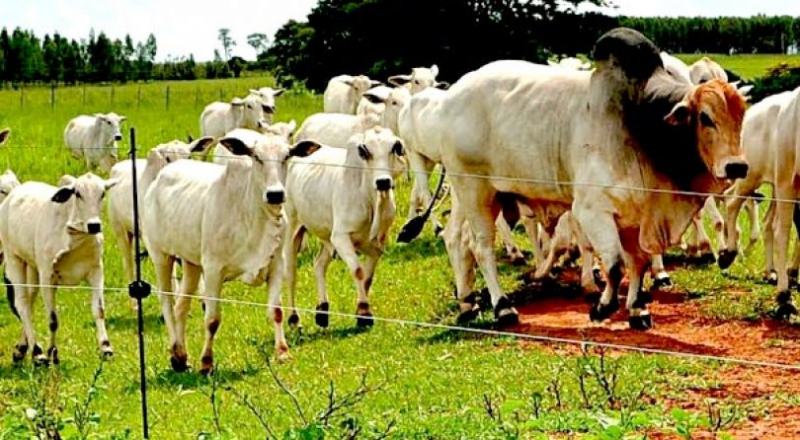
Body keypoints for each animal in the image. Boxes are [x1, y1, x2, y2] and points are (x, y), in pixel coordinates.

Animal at [0, 173, 117, 364]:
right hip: (14, 259)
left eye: (103, 193)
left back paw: (21, 349)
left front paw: (106, 347)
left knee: (30, 302)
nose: (94, 225)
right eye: (77, 194)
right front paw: (52, 352)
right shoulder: (47, 276)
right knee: (22, 303)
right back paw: (37, 352)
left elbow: (99, 310)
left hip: (32, 268)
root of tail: (13, 194)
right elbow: (53, 319)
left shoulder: (96, 271)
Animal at [142, 129, 320, 372]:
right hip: (161, 255)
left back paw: (181, 356)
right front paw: (206, 363)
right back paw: (176, 352)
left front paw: (283, 352)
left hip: (191, 263)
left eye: (287, 156)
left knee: (181, 305)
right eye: (256, 157)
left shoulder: (276, 265)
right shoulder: (213, 269)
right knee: (167, 302)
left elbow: (276, 311)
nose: (275, 194)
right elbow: (212, 319)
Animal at [282, 126, 406, 326]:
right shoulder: (341, 237)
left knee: (319, 264)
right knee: (291, 273)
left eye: (393, 148)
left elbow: (368, 276)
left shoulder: (373, 243)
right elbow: (358, 271)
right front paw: (364, 312)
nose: (383, 182)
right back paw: (294, 318)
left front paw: (360, 310)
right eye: (365, 151)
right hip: (293, 229)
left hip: (326, 237)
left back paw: (322, 310)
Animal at [432, 27, 752, 328]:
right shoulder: (591, 209)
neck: (640, 123)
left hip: (475, 194)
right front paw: (603, 306)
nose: (736, 167)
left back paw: (467, 303)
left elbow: (638, 262)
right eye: (705, 117)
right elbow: (614, 265)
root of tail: (453, 94)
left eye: (742, 116)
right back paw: (503, 308)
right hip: (475, 190)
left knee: (459, 240)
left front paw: (638, 309)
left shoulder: (637, 215)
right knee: (481, 247)